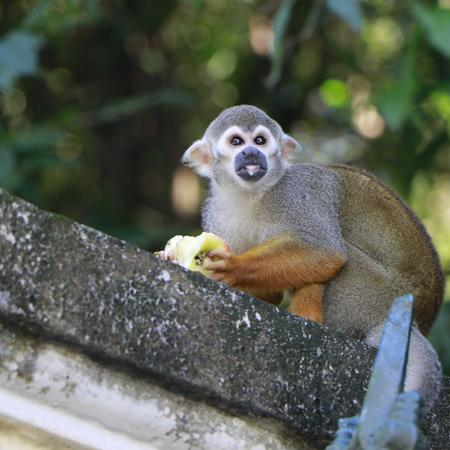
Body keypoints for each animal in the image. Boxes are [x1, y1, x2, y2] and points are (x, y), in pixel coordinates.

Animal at [181, 104, 444, 412]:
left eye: (260, 141)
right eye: (236, 142)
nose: (250, 153)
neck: (251, 195)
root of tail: (413, 320)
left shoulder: (298, 191)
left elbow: (325, 251)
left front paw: (234, 267)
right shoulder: (216, 214)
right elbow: (270, 293)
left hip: (376, 295)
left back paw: (310, 316)